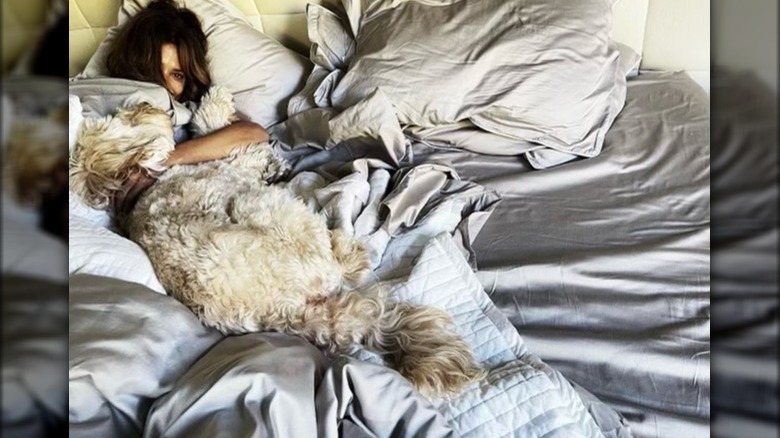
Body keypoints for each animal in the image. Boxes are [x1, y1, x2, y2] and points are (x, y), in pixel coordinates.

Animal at [70, 85, 484, 396]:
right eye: (129, 120)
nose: (144, 104)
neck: (139, 187)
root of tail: (287, 313)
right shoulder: (228, 169)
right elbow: (229, 139)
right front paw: (217, 103)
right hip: (268, 210)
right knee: (339, 261)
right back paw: (349, 249)